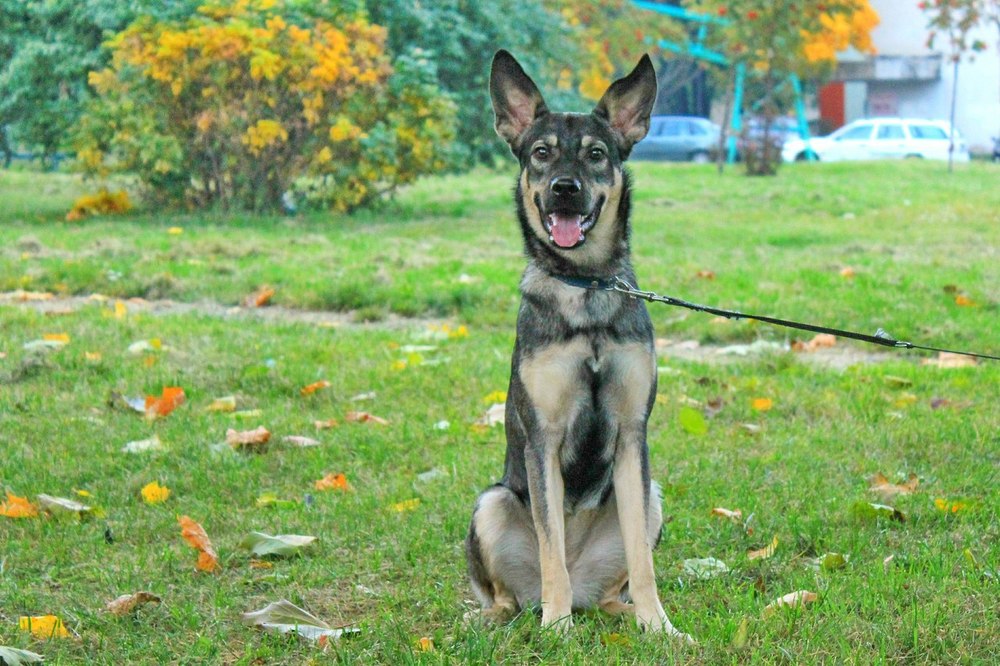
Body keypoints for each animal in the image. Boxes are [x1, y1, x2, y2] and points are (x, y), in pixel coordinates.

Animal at [466, 49, 688, 640]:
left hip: (652, 497)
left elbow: (642, 560)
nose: (565, 188)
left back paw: (622, 611)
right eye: (540, 153)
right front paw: (557, 625)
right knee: (509, 592)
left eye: (595, 154)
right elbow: (551, 550)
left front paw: (659, 625)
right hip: (491, 503)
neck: (586, 285)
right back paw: (512, 615)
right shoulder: (542, 439)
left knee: (616, 583)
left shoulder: (633, 437)